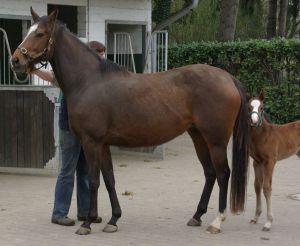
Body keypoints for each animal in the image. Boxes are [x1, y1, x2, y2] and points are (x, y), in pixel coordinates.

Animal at [11, 7, 250, 234]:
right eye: (28, 31)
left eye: (40, 34)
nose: (15, 61)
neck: (88, 81)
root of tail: (228, 78)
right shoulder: (103, 144)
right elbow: (109, 180)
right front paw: (113, 220)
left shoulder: (92, 142)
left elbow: (94, 181)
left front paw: (87, 223)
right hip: (198, 136)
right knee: (210, 173)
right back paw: (197, 216)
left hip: (216, 140)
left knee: (223, 173)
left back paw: (217, 221)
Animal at [247, 92, 298, 231]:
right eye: (249, 107)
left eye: (262, 107)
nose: (254, 121)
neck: (263, 136)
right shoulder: (257, 162)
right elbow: (257, 186)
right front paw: (256, 217)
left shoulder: (270, 162)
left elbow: (267, 187)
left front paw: (268, 222)